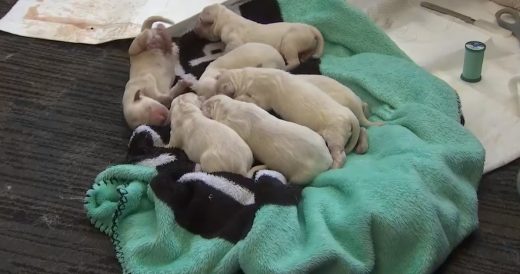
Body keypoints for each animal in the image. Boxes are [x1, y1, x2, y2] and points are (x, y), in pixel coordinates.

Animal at [193, 3, 322, 69]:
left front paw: (222, 54)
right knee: (308, 52)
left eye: (200, 20)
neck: (224, 19)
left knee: (294, 61)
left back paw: (286, 67)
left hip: (289, 42)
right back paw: (305, 57)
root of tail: (310, 28)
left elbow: (228, 49)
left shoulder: (234, 40)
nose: (194, 31)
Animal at [201, 94, 332, 184]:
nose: (202, 102)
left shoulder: (234, 124)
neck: (230, 108)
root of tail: (328, 158)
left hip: (302, 176)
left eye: (205, 106)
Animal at [215, 67, 362, 168]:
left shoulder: (262, 95)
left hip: (334, 134)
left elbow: (255, 101)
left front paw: (240, 98)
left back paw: (334, 165)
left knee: (340, 154)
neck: (245, 76)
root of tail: (350, 115)